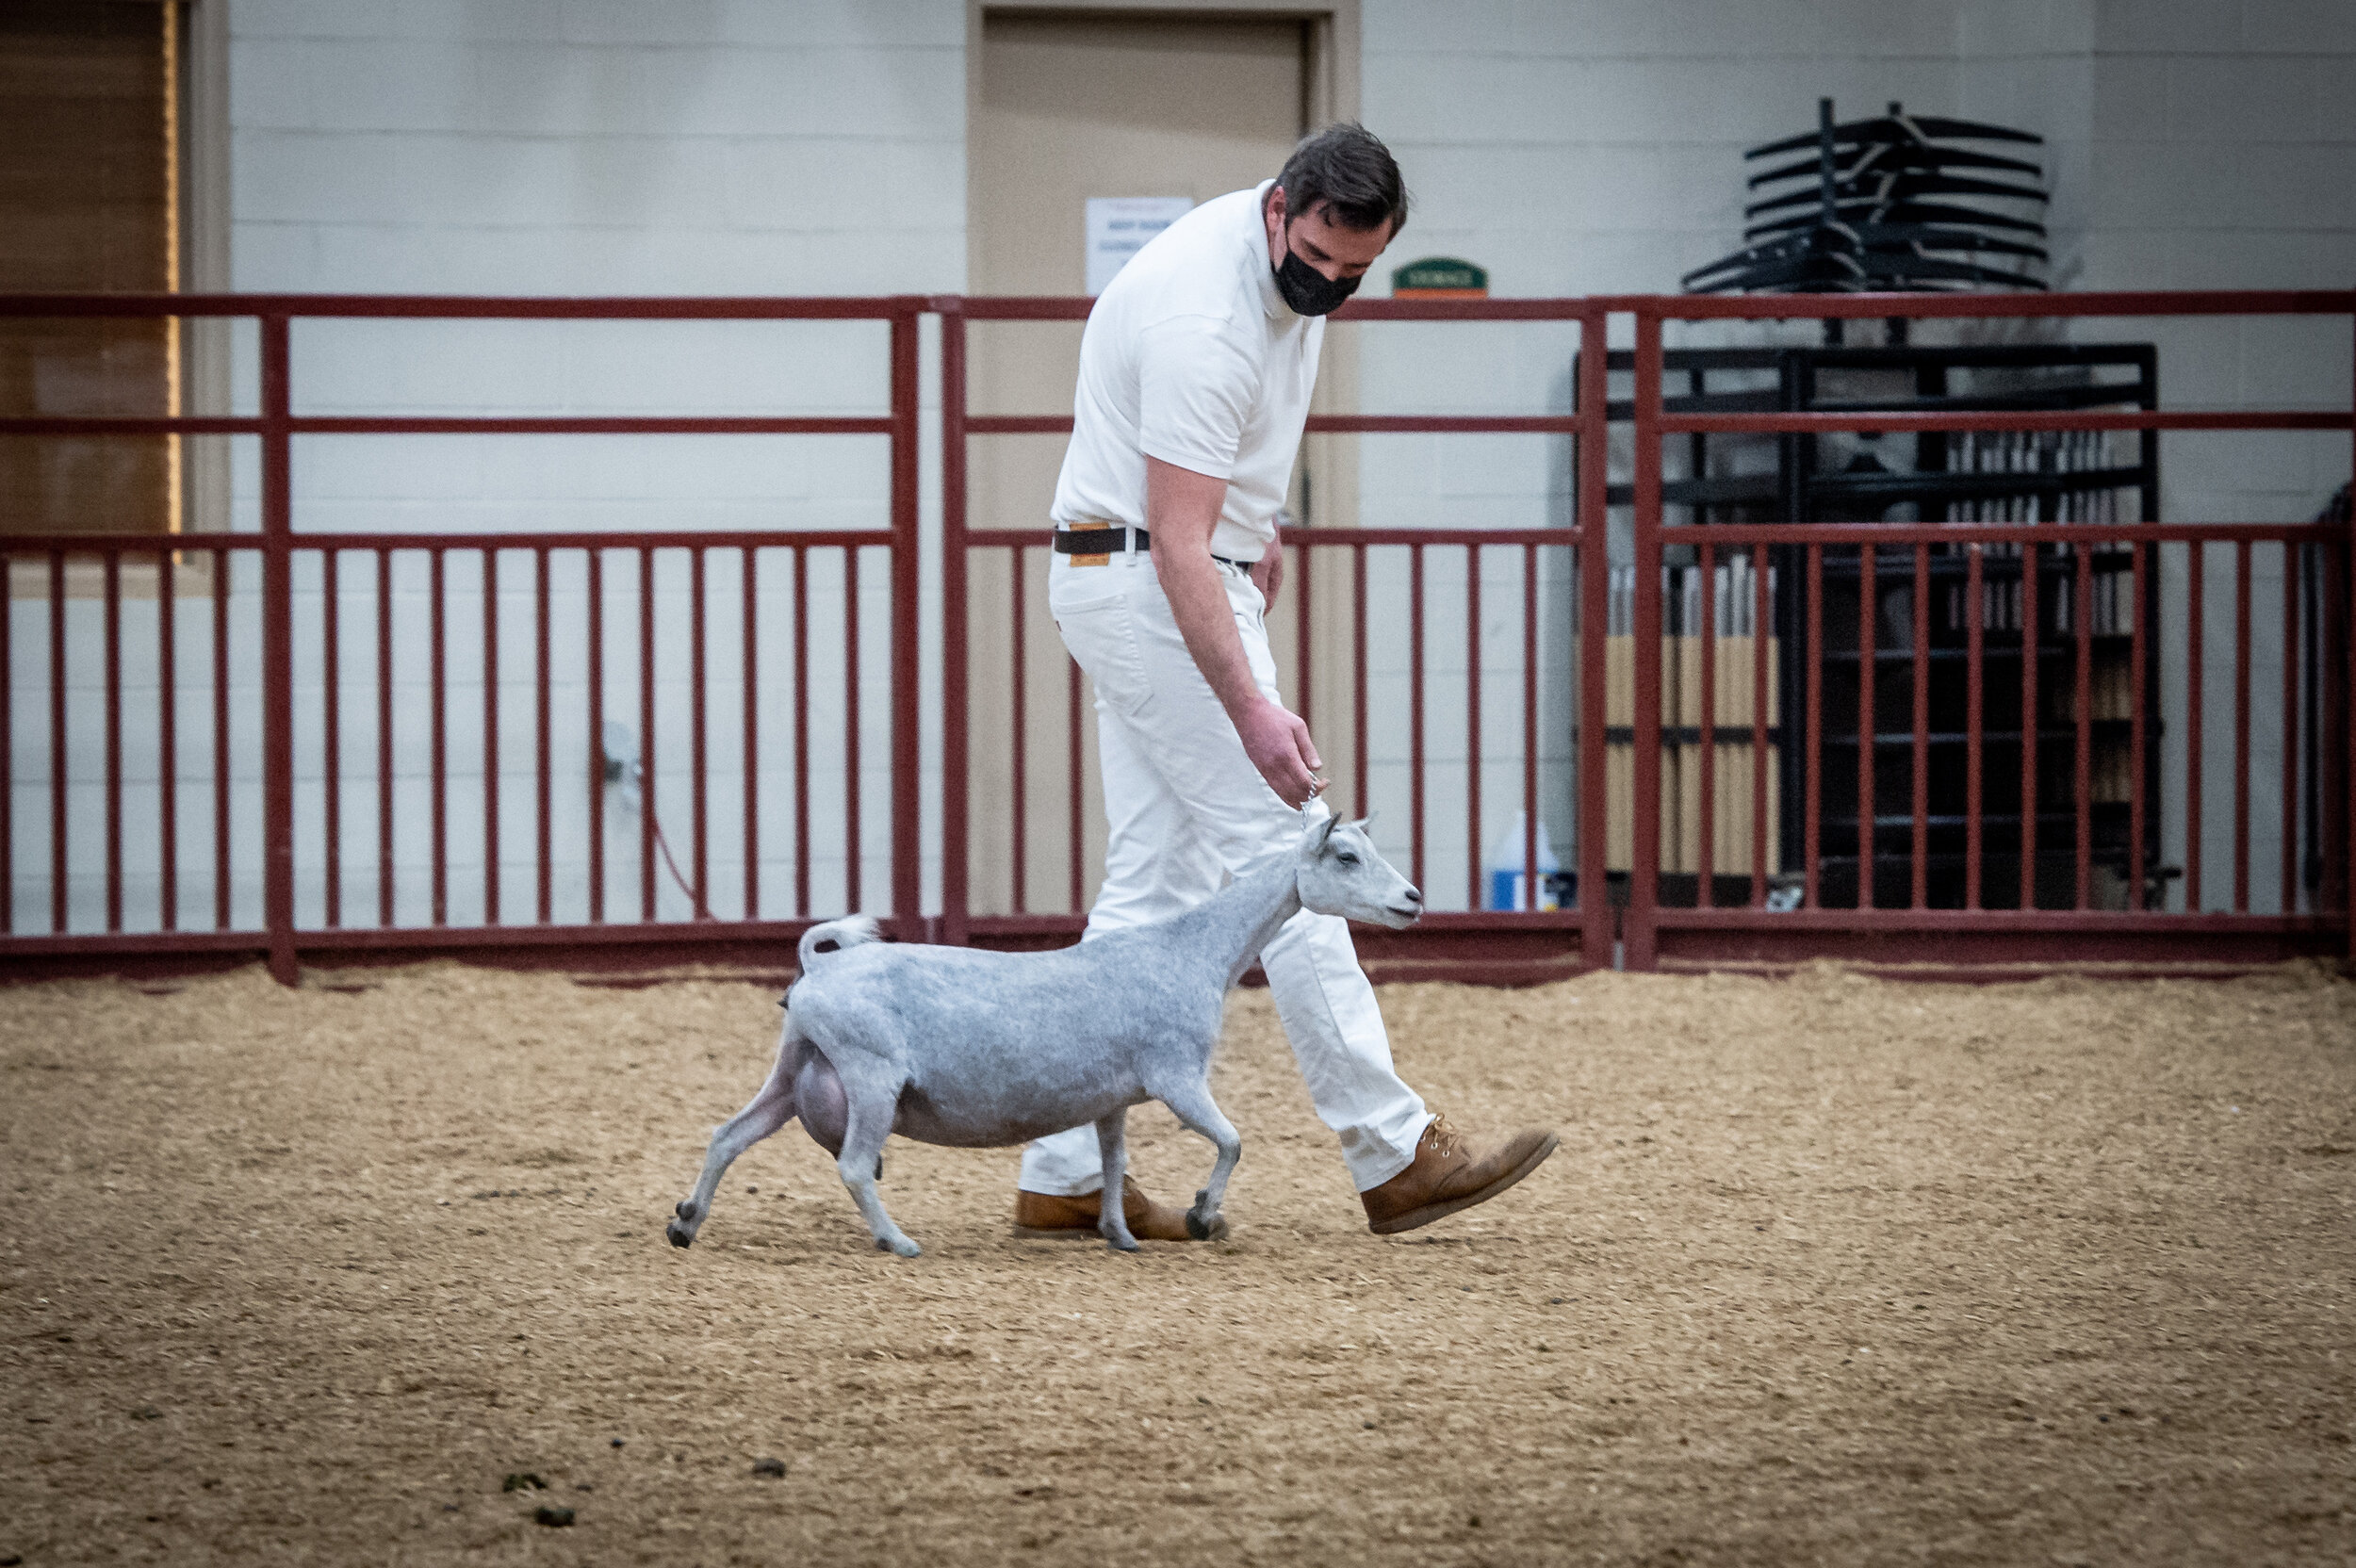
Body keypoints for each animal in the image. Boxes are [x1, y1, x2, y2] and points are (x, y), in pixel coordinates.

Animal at [664, 809, 1414, 1252]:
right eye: (1345, 857)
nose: (1411, 900)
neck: (1194, 950)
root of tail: (818, 968)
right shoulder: (1175, 1074)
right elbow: (1232, 1141)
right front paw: (1201, 1216)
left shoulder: (1114, 1097)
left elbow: (1113, 1160)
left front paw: (1119, 1232)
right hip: (870, 1074)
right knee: (852, 1165)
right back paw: (897, 1242)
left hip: (795, 1068)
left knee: (727, 1135)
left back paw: (685, 1222)